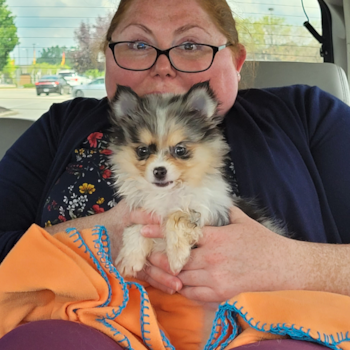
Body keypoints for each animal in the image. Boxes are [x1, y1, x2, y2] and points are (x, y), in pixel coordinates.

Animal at [108, 81, 284, 276]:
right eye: (142, 150)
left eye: (180, 149)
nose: (159, 171)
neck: (168, 193)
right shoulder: (143, 211)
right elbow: (136, 227)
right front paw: (130, 258)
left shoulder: (213, 212)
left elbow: (178, 215)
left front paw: (177, 255)